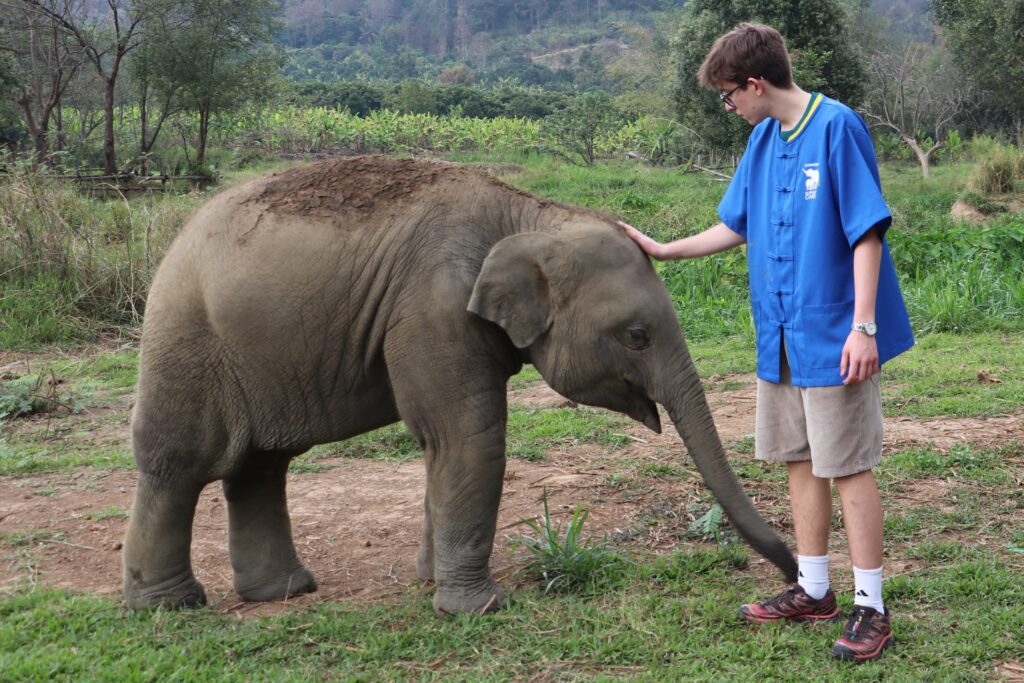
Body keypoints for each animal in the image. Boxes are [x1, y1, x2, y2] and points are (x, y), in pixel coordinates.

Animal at [123, 156, 797, 614]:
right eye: (636, 336)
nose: (791, 575)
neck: (530, 215)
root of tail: (173, 244)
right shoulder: (433, 308)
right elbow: (465, 437)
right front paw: (480, 608)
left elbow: (439, 446)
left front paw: (429, 583)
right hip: (185, 340)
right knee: (180, 463)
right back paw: (170, 605)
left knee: (261, 466)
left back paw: (284, 591)